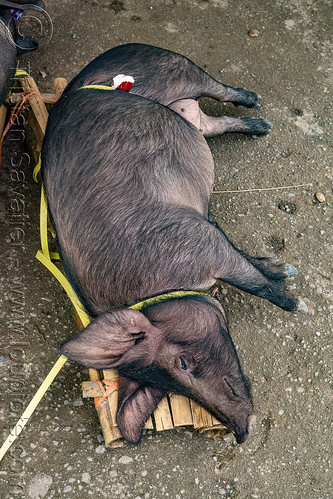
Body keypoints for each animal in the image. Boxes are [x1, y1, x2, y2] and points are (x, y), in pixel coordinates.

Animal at [40, 43, 306, 444]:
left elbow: (255, 282)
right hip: (191, 116)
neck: (161, 290)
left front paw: (298, 302)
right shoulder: (208, 237)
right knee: (211, 123)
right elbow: (251, 267)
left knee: (217, 88)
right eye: (170, 388)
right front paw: (286, 270)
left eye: (182, 363)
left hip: (172, 65)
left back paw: (259, 111)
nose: (241, 432)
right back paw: (261, 126)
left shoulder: (204, 242)